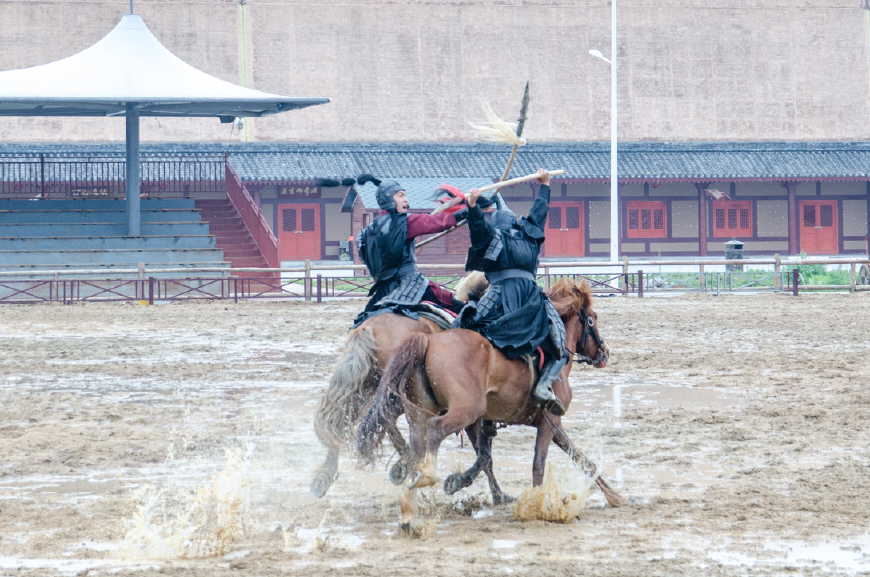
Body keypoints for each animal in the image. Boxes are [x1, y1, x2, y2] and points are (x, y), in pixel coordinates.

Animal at [312, 274, 510, 500]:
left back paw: (325, 477)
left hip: (364, 388)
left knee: (344, 418)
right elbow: (484, 455)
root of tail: (369, 328)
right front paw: (497, 494)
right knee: (380, 419)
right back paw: (403, 465)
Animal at [360, 276, 628, 532]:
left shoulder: (547, 424)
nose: (604, 352)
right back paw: (426, 477)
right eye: (593, 319)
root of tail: (427, 340)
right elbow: (537, 464)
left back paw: (409, 515)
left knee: (416, 447)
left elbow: (581, 458)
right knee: (435, 429)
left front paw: (615, 497)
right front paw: (537, 507)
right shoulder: (549, 423)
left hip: (420, 415)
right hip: (466, 410)